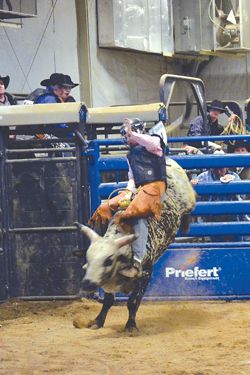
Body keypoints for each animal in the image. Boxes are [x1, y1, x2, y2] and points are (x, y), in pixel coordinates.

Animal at [75, 159, 195, 332]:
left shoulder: (145, 274)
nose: (87, 283)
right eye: (88, 259)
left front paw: (131, 326)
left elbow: (133, 302)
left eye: (108, 260)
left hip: (188, 199)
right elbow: (108, 301)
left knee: (190, 209)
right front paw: (97, 321)